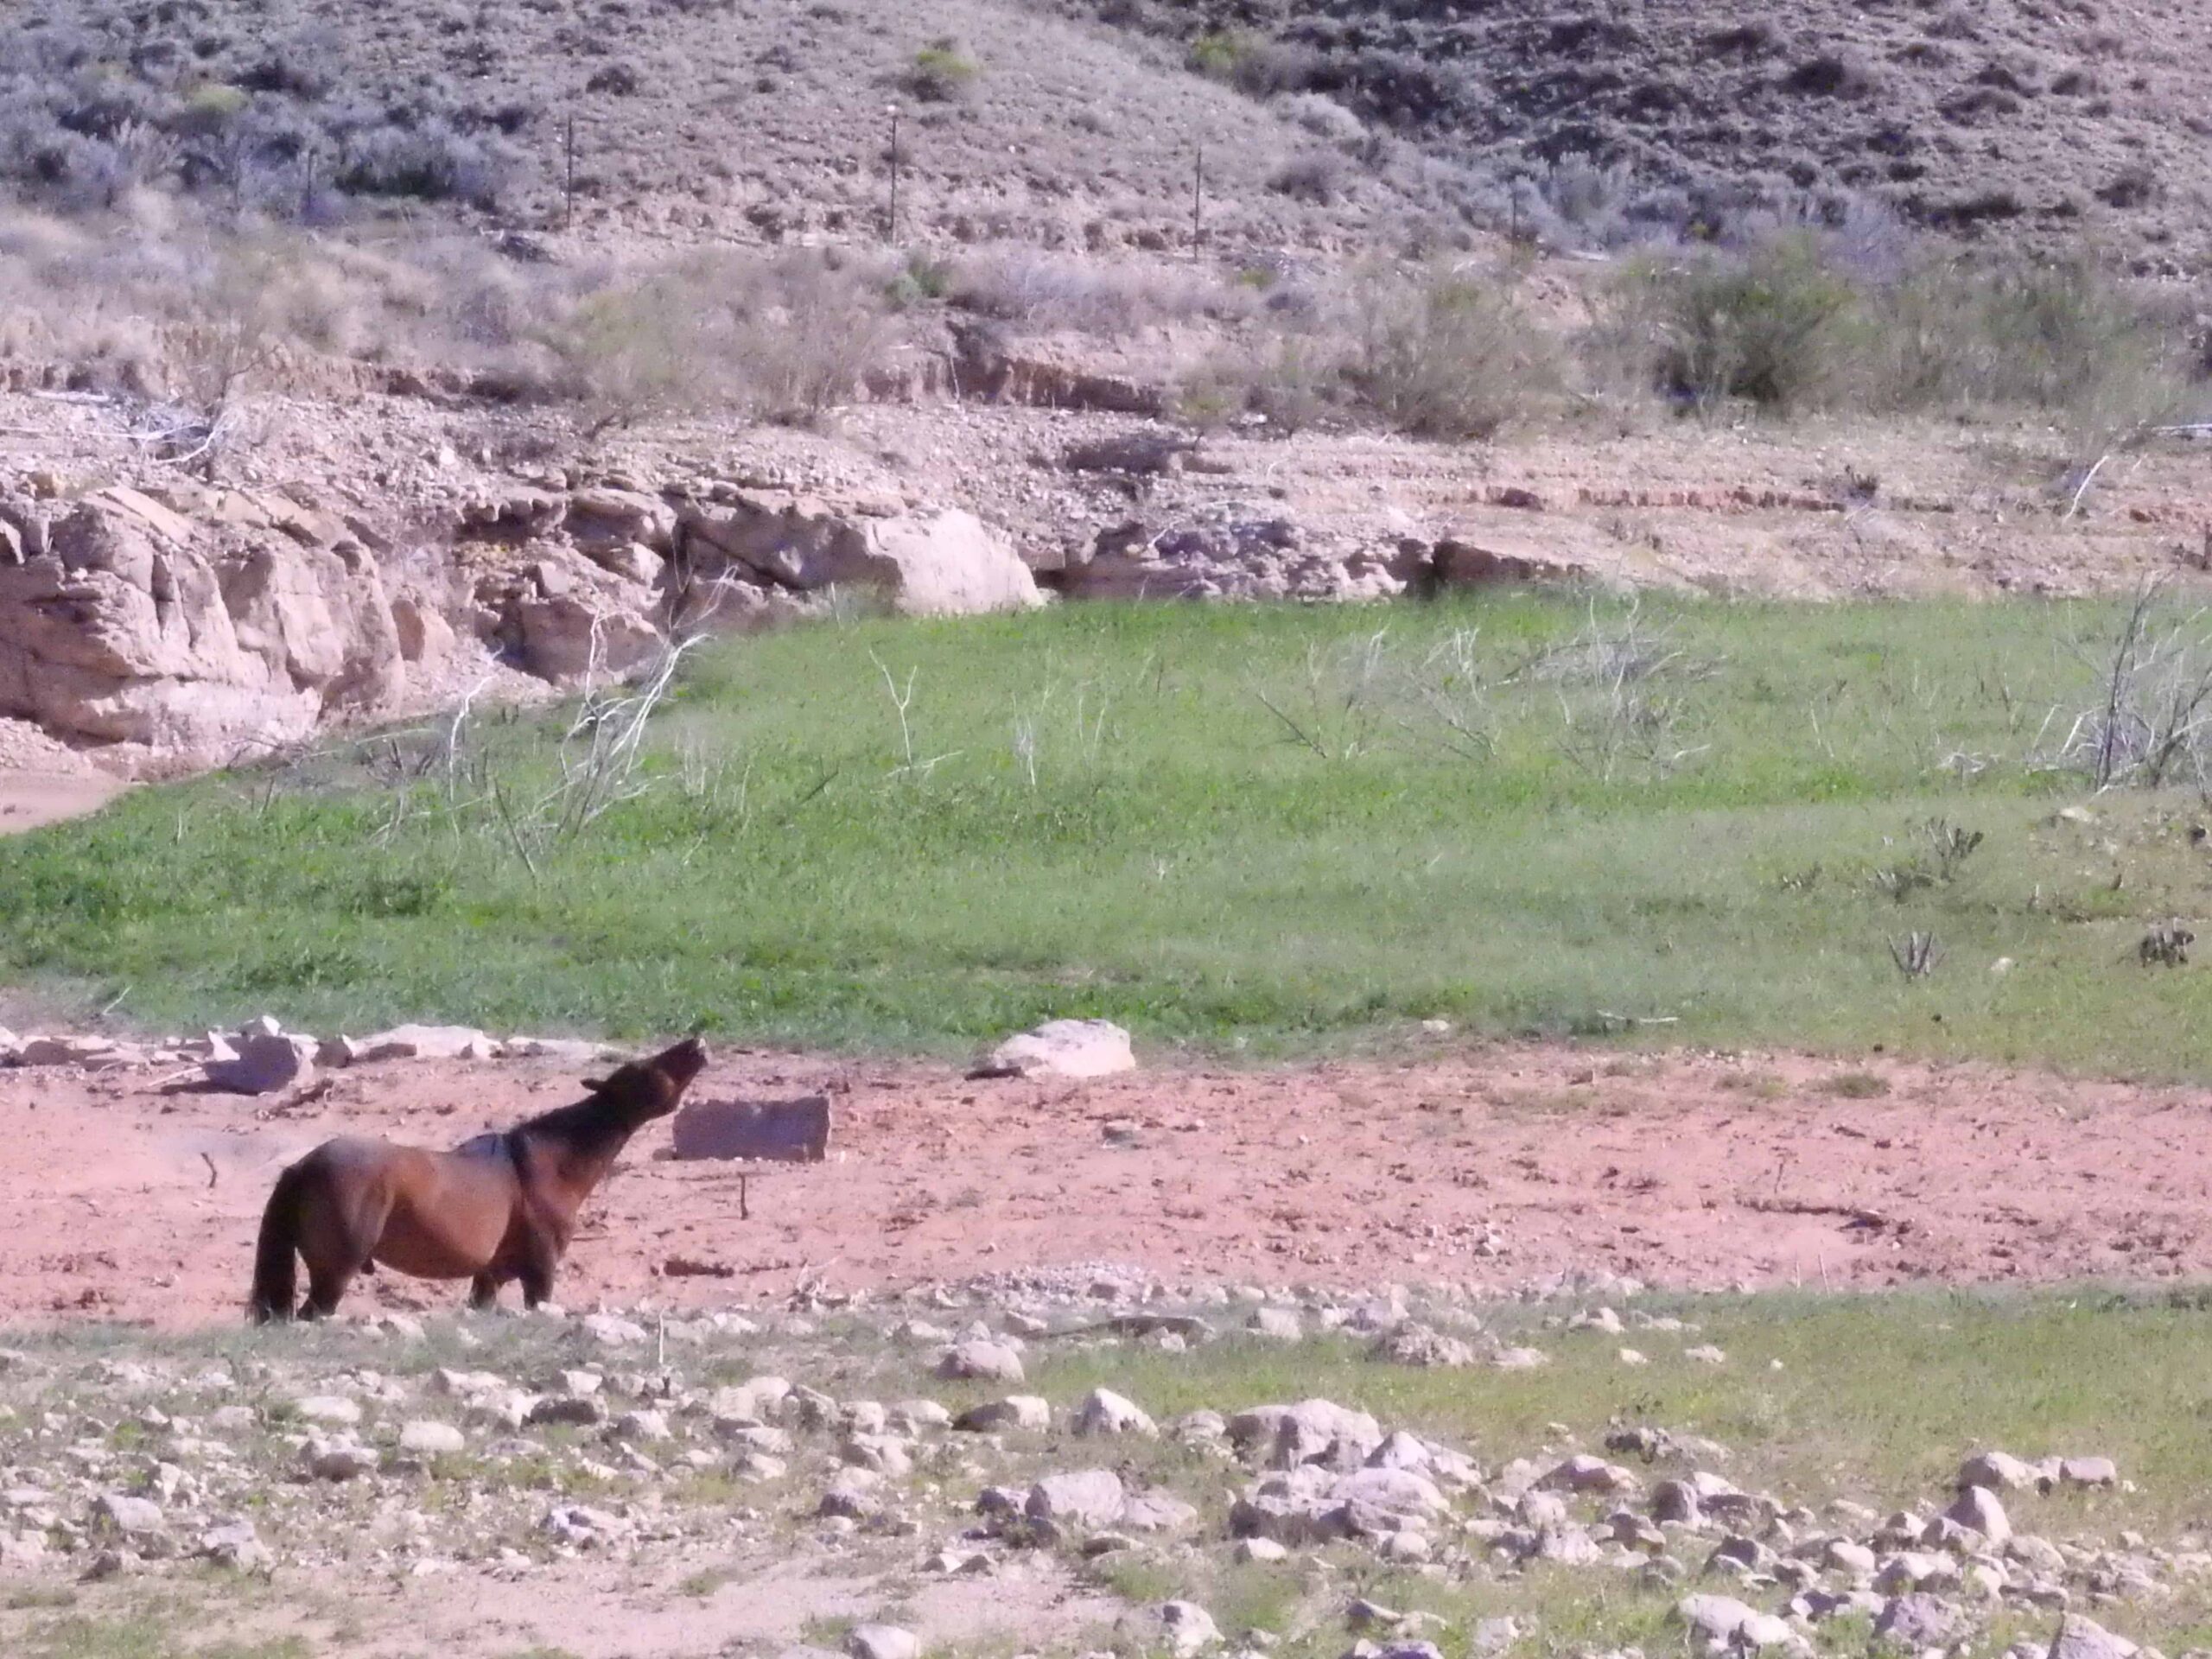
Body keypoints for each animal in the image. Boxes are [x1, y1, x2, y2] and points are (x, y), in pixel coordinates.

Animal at [248, 1036, 709, 1323]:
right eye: (644, 1069)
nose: (696, 1043)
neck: (549, 1163)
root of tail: (303, 1166)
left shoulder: (490, 1277)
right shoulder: (540, 1271)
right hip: (334, 1274)